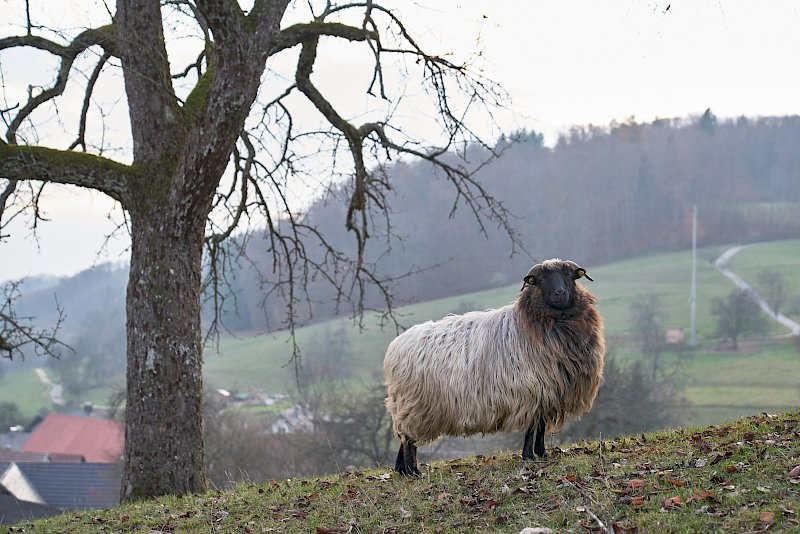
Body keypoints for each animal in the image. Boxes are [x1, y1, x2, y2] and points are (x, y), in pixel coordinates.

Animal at [384, 260, 604, 478]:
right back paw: (413, 471)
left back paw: (401, 469)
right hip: (415, 405)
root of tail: (395, 346)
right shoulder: (533, 389)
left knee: (404, 438)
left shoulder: (549, 392)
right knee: (409, 440)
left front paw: (541, 453)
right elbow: (532, 427)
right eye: (541, 279)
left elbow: (540, 426)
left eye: (569, 275)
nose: (560, 293)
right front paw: (529, 456)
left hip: (408, 406)